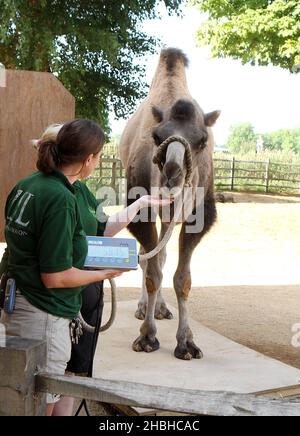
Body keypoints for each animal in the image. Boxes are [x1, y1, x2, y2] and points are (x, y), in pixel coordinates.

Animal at [119, 48, 220, 362]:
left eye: (203, 141)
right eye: (156, 136)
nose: (172, 173)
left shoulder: (197, 216)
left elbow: (182, 279)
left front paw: (186, 343)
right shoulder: (141, 209)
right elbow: (152, 271)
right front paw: (147, 337)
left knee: (160, 256)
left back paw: (162, 309)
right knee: (148, 257)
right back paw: (144, 308)